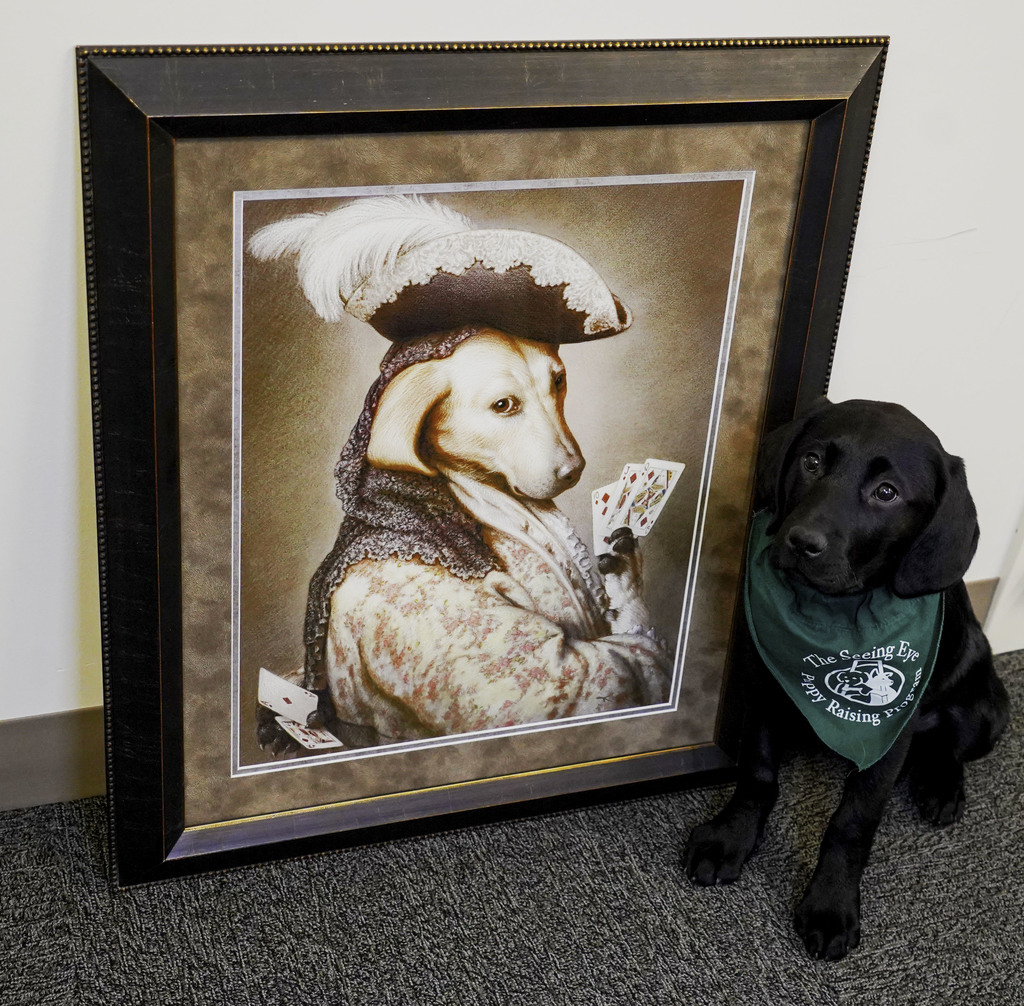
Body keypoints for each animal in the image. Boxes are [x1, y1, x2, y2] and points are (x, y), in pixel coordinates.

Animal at [683, 398, 1009, 960]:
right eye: (812, 461)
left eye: (887, 493)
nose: (800, 542)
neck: (837, 612)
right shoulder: (763, 685)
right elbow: (757, 774)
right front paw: (732, 837)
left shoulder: (891, 729)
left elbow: (853, 820)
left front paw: (830, 904)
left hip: (986, 706)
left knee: (949, 744)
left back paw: (941, 786)